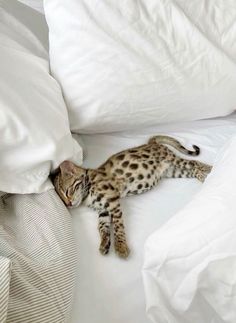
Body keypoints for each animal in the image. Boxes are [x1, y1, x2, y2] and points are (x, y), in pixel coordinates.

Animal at [52, 135, 211, 260]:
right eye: (63, 201)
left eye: (67, 191)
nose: (69, 204)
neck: (88, 188)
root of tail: (151, 143)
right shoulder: (103, 210)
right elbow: (102, 227)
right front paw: (104, 243)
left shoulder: (113, 202)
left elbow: (118, 227)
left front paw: (121, 247)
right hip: (173, 171)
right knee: (192, 170)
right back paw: (204, 176)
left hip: (173, 160)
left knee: (194, 163)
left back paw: (209, 170)